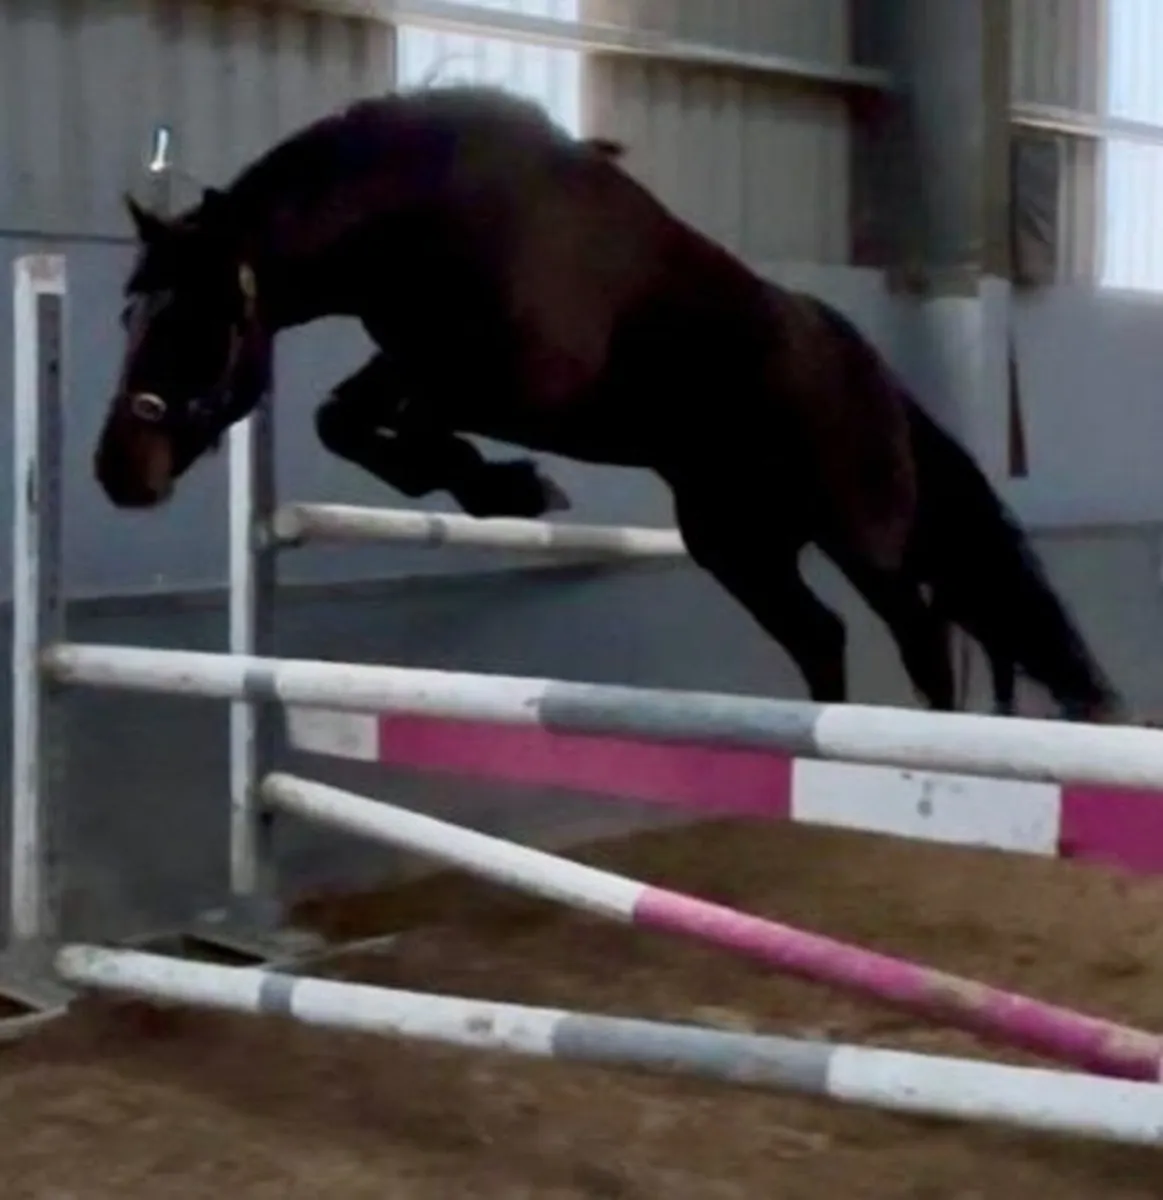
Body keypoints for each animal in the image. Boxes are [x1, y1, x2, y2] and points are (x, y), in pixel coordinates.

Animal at [94, 83, 1122, 722]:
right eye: (128, 312)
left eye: (191, 323)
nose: (116, 473)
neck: (439, 217)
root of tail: (882, 385)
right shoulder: (414, 359)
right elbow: (345, 420)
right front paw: (497, 488)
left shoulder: (505, 382)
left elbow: (406, 425)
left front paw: (510, 487)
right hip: (736, 541)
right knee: (822, 634)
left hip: (860, 537)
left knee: (923, 631)